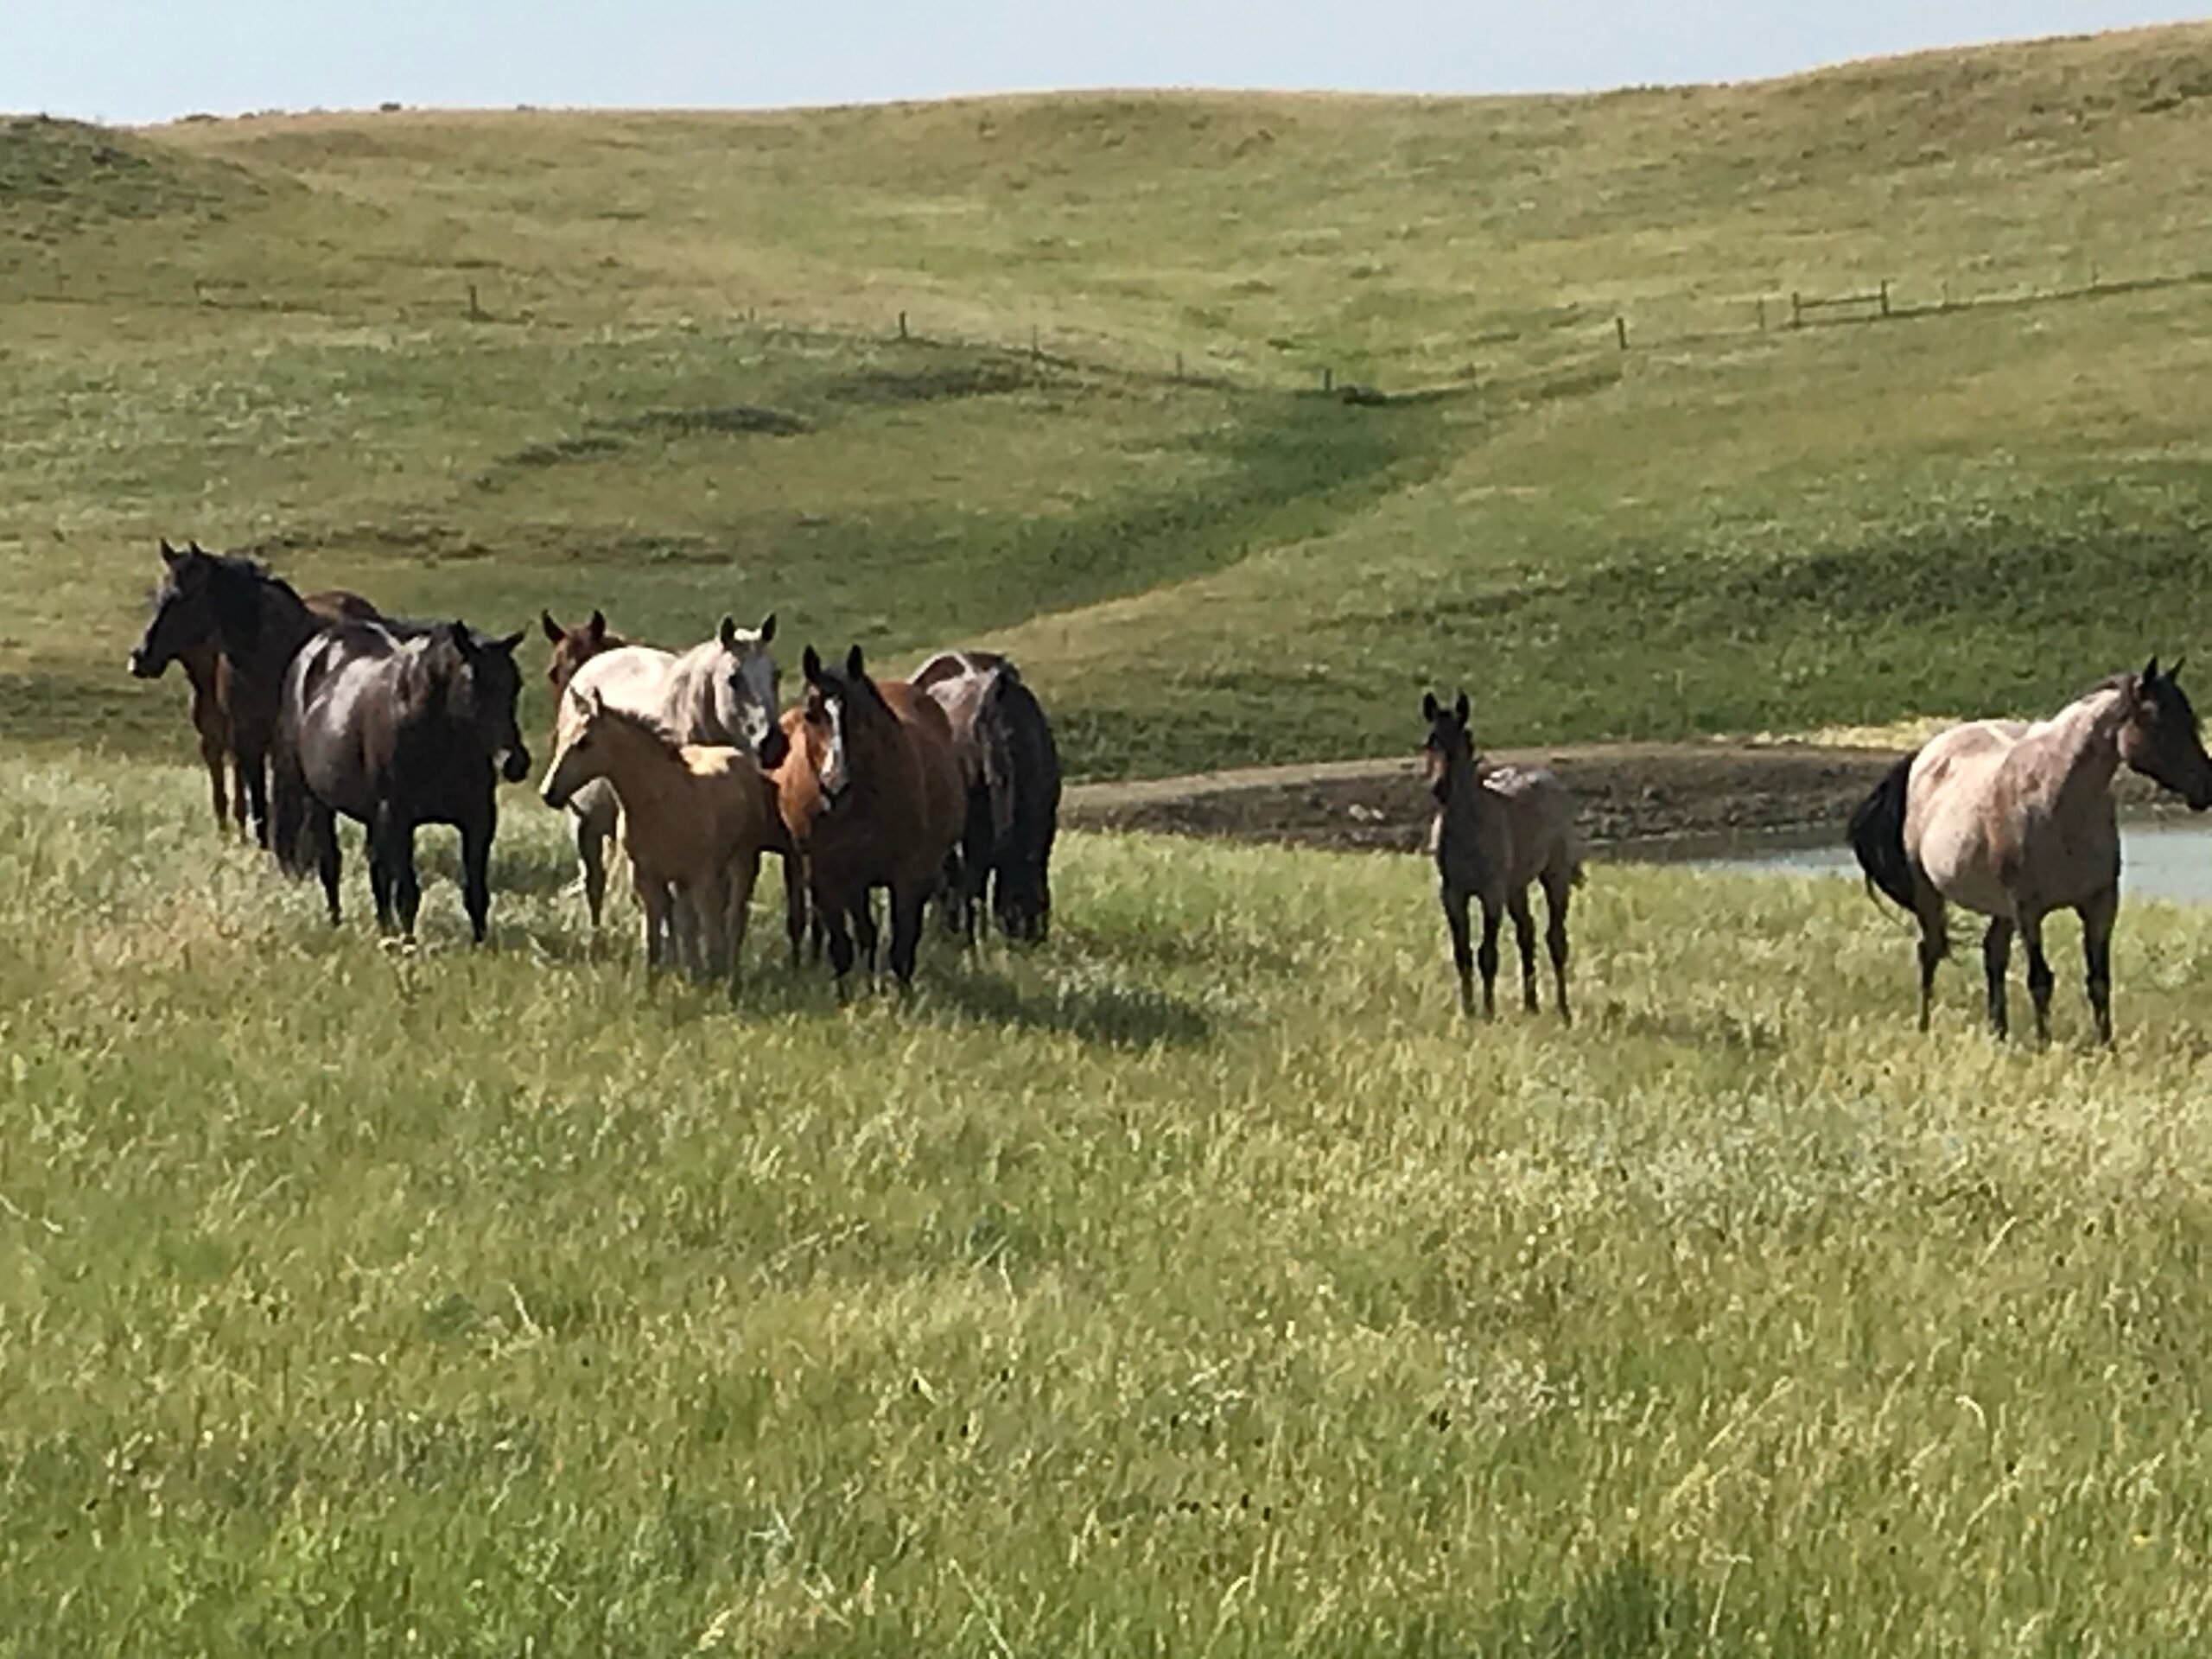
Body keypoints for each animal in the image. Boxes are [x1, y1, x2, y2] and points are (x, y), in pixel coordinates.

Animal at [270, 619, 529, 943]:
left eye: (515, 685)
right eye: (473, 685)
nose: (514, 762)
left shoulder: (478, 819)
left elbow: (476, 893)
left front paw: (480, 943)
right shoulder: (397, 817)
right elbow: (408, 894)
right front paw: (409, 943)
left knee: (377, 871)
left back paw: (386, 931)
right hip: (317, 801)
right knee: (331, 863)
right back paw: (338, 923)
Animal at [538, 687, 784, 983]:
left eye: (584, 742)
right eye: (562, 738)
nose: (548, 793)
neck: (660, 801)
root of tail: (734, 753)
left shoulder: (702, 877)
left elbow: (711, 932)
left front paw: (717, 984)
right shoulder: (647, 880)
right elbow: (655, 941)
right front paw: (656, 988)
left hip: (742, 862)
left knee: (734, 917)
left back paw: (730, 973)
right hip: (682, 880)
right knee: (689, 923)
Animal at [771, 644, 963, 990]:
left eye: (858, 715)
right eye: (811, 714)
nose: (835, 785)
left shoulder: (909, 876)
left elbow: (902, 948)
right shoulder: (828, 875)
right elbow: (842, 947)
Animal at [1422, 691, 1582, 1022]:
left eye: (1464, 741)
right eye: (1430, 741)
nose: (1438, 788)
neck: (1469, 829)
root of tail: (1552, 780)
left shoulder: (1491, 893)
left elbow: (1487, 954)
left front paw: (1489, 1012)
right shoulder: (1452, 894)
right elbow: (1462, 954)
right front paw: (1468, 1012)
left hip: (1555, 876)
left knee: (1556, 938)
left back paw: (1563, 1010)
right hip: (1516, 887)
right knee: (1527, 932)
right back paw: (1531, 1006)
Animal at [1846, 660, 2212, 1044]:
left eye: (2189, 719)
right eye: (2156, 720)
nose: (2206, 786)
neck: (2057, 803)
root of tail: (1926, 754)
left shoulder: (2100, 904)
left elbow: (2098, 981)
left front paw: (2106, 1046)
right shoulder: (2028, 909)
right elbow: (2040, 981)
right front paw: (2044, 1045)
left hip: (2000, 908)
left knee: (1993, 954)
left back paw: (1999, 1033)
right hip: (1931, 892)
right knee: (1929, 951)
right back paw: (1925, 1027)